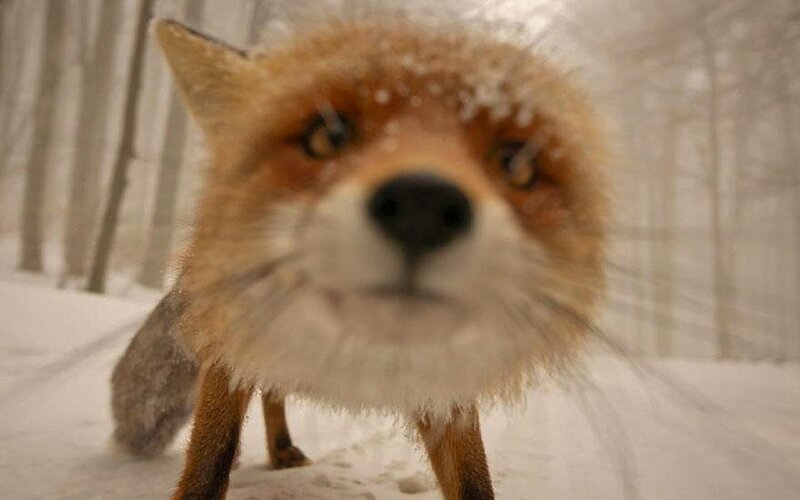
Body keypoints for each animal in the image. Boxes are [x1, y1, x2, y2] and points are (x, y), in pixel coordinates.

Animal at [111, 12, 611, 500]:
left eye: (514, 163)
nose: (422, 208)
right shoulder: (229, 340)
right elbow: (210, 459)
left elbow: (473, 481)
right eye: (325, 137)